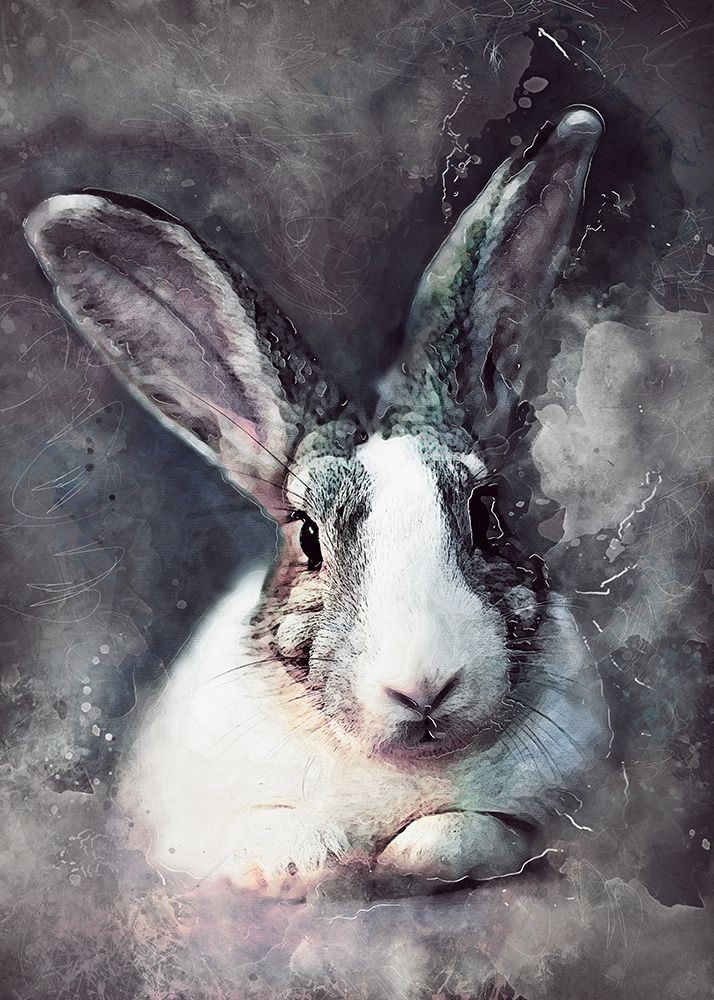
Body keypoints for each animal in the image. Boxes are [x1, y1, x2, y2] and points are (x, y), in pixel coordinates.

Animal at [25, 106, 610, 900]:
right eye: (307, 537)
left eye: (488, 513)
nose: (423, 688)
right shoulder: (181, 838)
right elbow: (264, 838)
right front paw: (311, 859)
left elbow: (476, 833)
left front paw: (406, 856)